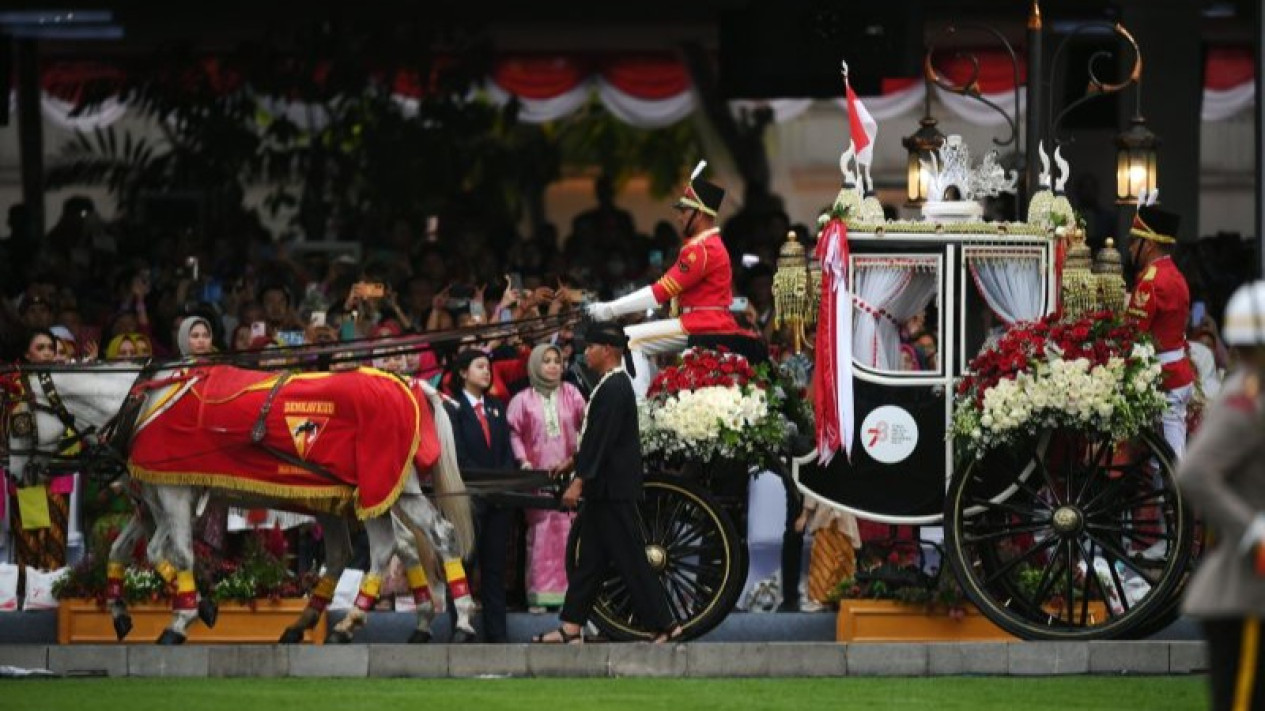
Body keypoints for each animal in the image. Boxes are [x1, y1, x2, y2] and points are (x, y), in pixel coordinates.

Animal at [4, 361, 475, 645]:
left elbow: (170, 552)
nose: (15, 473)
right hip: (366, 496)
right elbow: (130, 550)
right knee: (380, 550)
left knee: (431, 537)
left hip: (385, 487)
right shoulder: (153, 495)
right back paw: (337, 622)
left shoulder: (172, 493)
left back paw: (461, 619)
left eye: (19, 421)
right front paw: (142, 609)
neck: (142, 403)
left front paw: (182, 618)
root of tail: (407, 385)